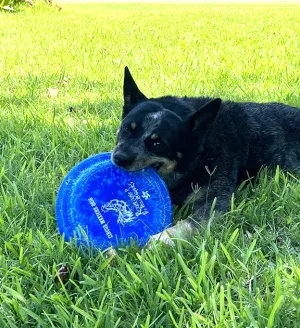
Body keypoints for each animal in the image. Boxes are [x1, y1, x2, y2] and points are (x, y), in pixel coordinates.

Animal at [111, 66, 300, 246]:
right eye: (127, 128)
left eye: (158, 143)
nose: (119, 158)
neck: (198, 153)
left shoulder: (216, 199)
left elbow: (191, 223)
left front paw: (162, 239)